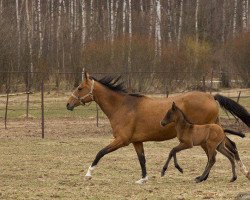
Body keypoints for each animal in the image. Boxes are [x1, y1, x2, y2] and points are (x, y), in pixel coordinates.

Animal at [66, 71, 250, 184]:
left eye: (80, 88)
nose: (68, 104)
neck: (123, 106)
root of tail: (211, 96)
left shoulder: (121, 140)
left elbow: (100, 152)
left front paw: (88, 174)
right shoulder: (136, 141)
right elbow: (142, 159)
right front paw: (143, 179)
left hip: (206, 137)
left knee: (216, 154)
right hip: (214, 132)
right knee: (229, 147)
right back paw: (239, 172)